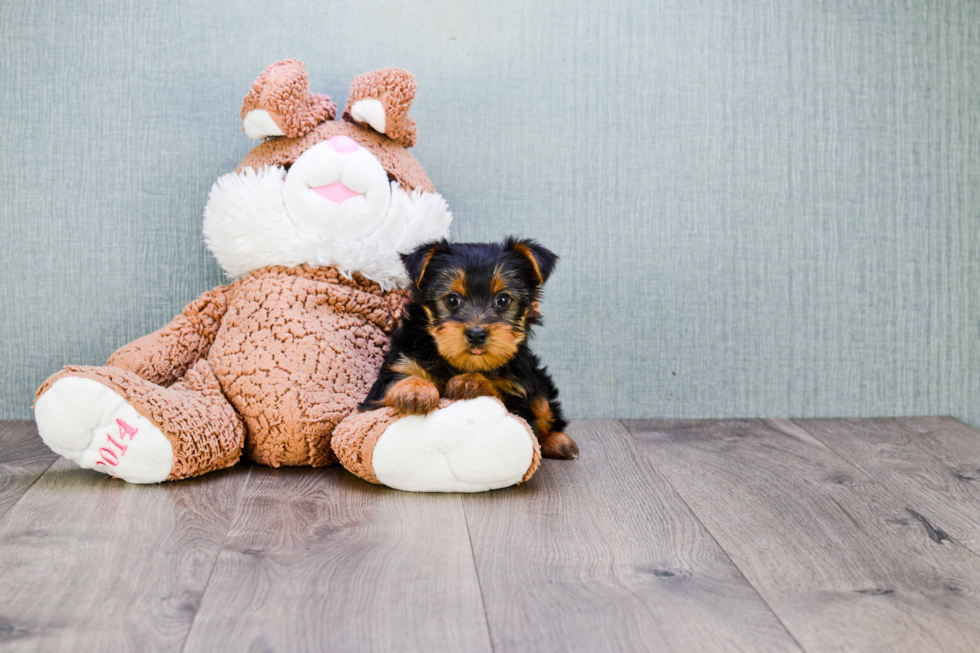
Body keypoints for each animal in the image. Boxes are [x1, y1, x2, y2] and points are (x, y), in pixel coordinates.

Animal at [360, 238, 580, 458]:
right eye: (452, 299)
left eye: (503, 300)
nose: (476, 334)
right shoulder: (397, 366)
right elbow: (395, 381)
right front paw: (415, 390)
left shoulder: (519, 394)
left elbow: (503, 398)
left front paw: (473, 381)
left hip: (539, 380)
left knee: (544, 409)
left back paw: (559, 443)